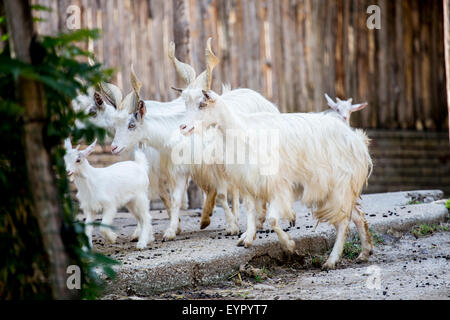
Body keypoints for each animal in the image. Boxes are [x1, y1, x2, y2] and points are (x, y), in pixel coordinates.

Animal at [179, 84, 372, 268]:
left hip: (340, 186)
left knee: (344, 222)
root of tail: (358, 141)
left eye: (202, 104)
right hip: (340, 188)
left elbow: (272, 220)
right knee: (357, 215)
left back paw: (331, 261)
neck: (242, 130)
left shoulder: (278, 185)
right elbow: (251, 211)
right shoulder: (249, 182)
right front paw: (248, 237)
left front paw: (289, 245)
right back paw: (364, 252)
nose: (182, 127)